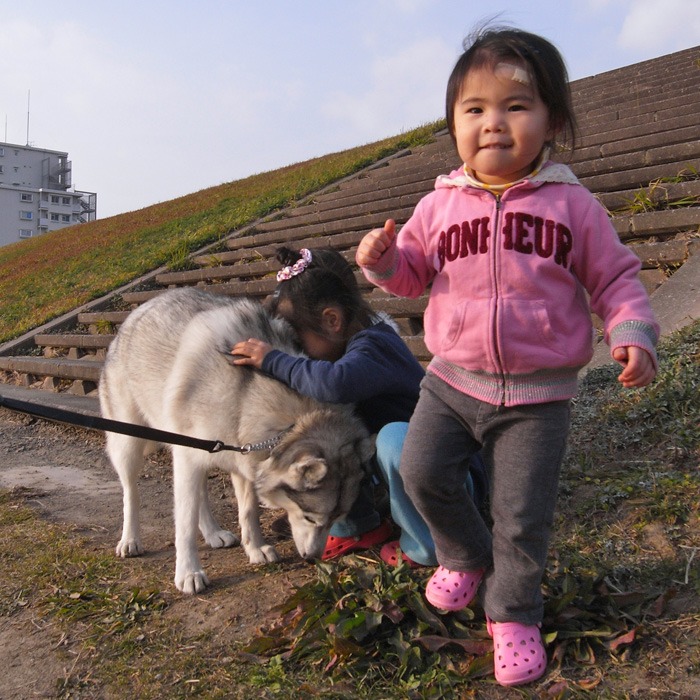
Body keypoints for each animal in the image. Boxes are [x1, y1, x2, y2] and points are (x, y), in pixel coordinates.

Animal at [99, 288, 374, 592]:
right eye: (309, 517)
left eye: (335, 519)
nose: (313, 558)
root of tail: (136, 312)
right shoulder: (191, 458)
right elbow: (184, 522)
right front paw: (188, 572)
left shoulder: (242, 458)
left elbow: (248, 511)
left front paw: (255, 549)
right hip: (130, 445)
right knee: (131, 492)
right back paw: (130, 539)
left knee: (200, 496)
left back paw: (213, 533)